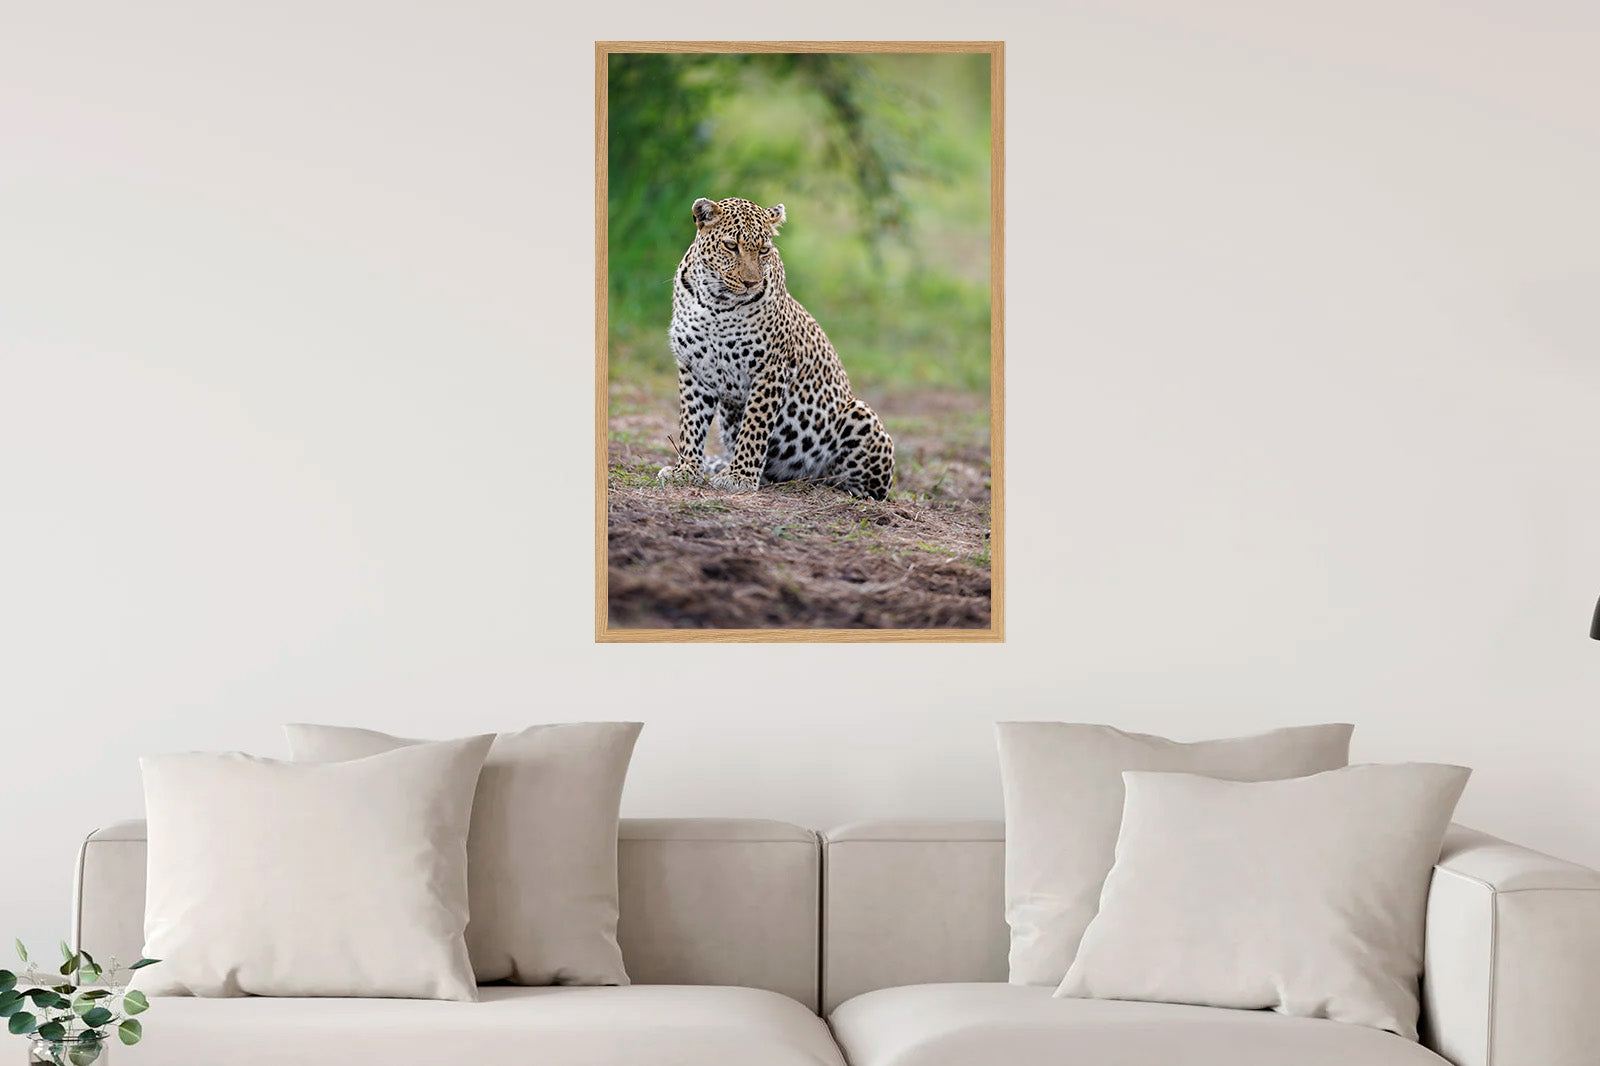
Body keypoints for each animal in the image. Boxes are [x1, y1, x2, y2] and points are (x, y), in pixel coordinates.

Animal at [656, 196, 895, 501]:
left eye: (764, 250)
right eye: (730, 245)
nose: (751, 283)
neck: (716, 303)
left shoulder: (771, 369)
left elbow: (755, 427)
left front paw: (739, 477)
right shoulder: (694, 368)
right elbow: (691, 423)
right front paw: (685, 470)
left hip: (860, 414)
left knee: (866, 486)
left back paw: (832, 488)